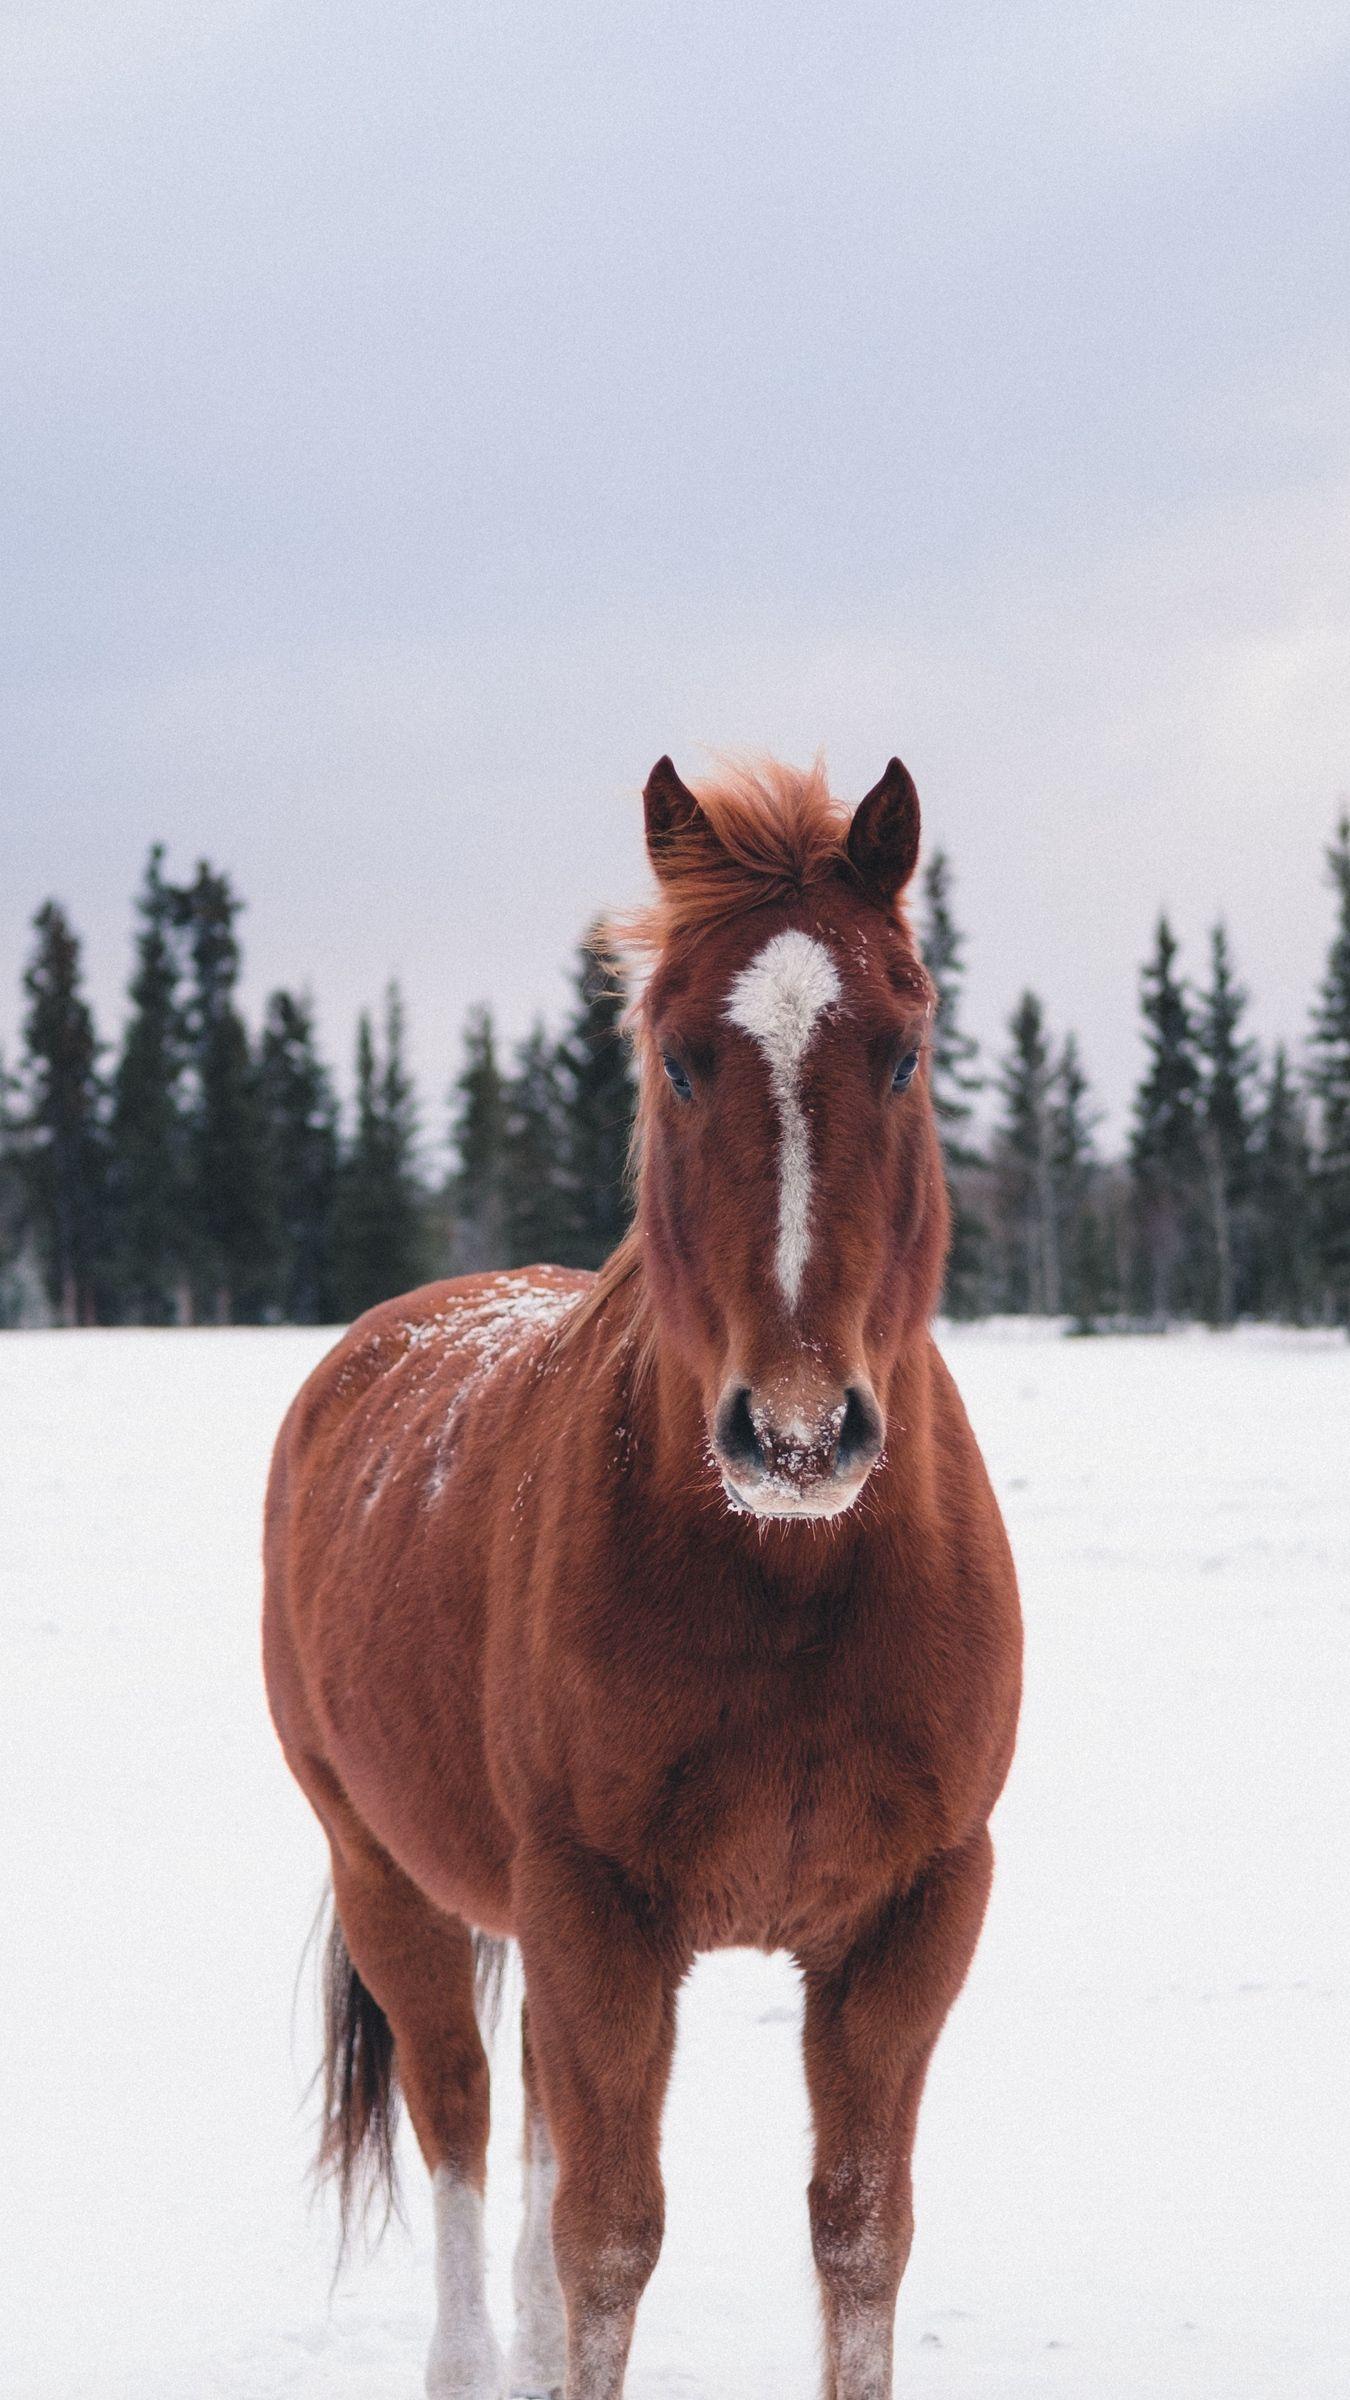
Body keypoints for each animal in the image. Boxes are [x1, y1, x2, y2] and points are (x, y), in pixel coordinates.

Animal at [263, 752, 1022, 2400]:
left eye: (906, 1053)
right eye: (676, 1060)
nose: (795, 1432)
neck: (789, 1585)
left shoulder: (913, 1914)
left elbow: (858, 2238)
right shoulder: (594, 1910)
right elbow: (609, 2243)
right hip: (387, 1877)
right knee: (468, 2129)